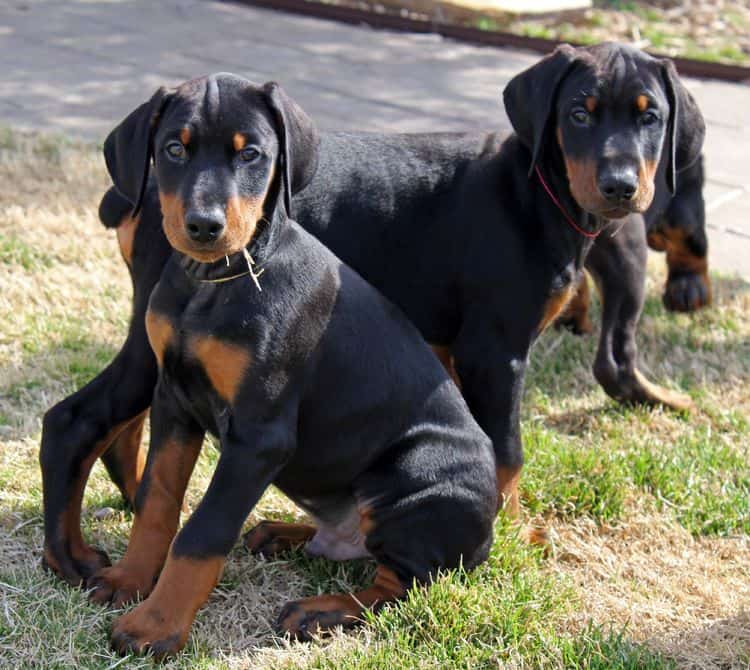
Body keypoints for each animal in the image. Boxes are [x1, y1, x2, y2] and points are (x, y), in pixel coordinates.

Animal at [42, 42, 704, 588]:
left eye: (649, 117)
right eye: (579, 114)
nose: (620, 187)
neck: (535, 189)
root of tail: (132, 188)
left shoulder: (448, 354)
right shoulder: (495, 350)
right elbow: (507, 451)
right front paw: (516, 537)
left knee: (122, 423)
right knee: (74, 419)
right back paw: (68, 556)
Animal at [67, 76, 496, 660]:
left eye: (251, 154)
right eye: (174, 148)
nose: (204, 226)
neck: (215, 283)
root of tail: (489, 538)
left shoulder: (259, 436)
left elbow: (202, 533)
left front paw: (155, 626)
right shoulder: (173, 400)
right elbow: (157, 502)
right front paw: (129, 581)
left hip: (415, 478)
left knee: (402, 585)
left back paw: (320, 611)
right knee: (350, 548)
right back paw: (278, 533)